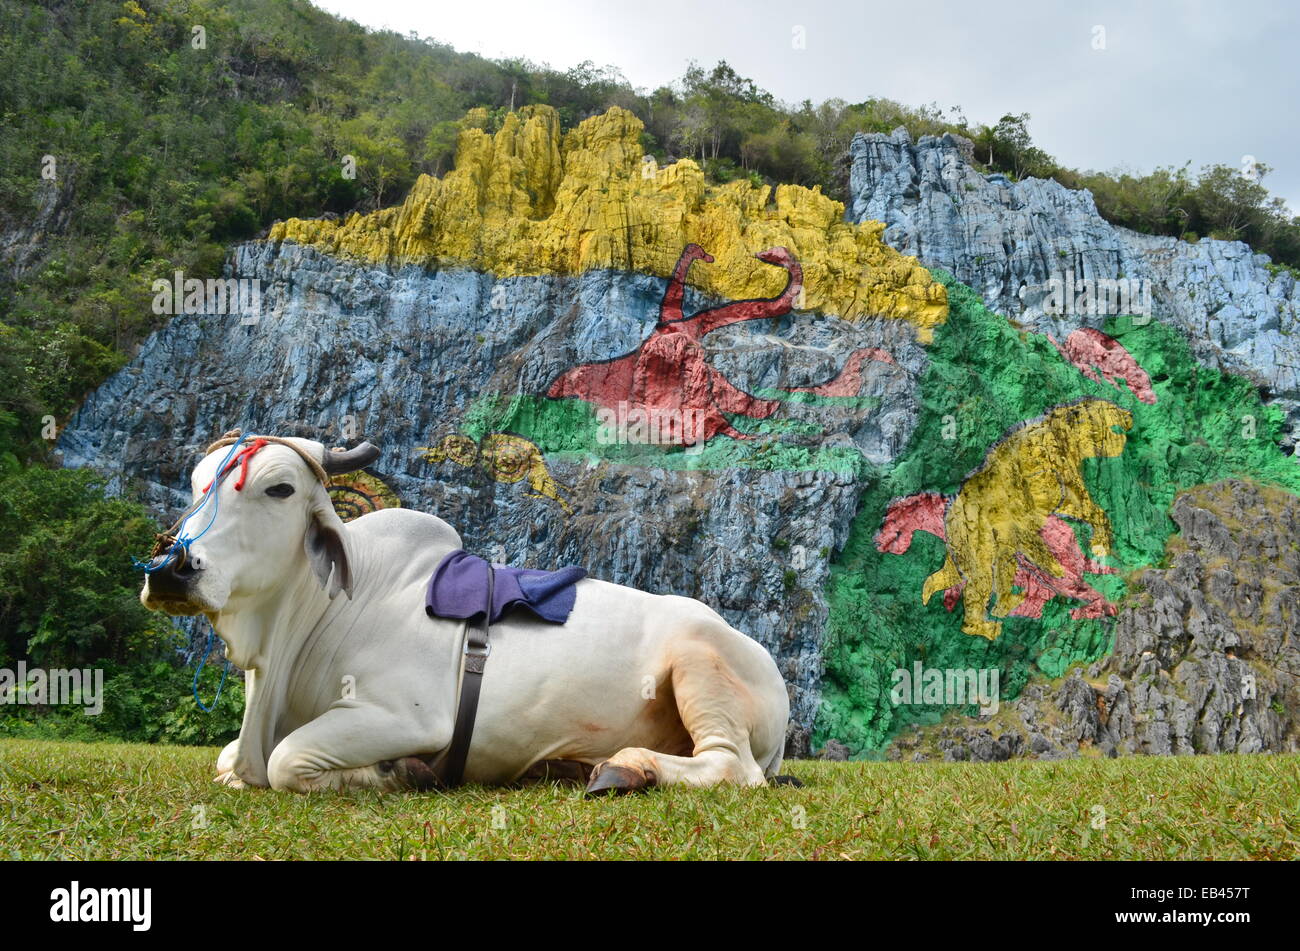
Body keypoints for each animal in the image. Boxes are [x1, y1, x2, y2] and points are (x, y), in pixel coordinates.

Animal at [142, 439, 790, 795]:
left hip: (699, 660)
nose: (170, 568)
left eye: (279, 489)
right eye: (197, 485)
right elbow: (227, 760)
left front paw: (397, 773)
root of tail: (765, 661)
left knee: (729, 767)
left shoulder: (406, 716)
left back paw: (627, 769)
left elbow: (286, 761)